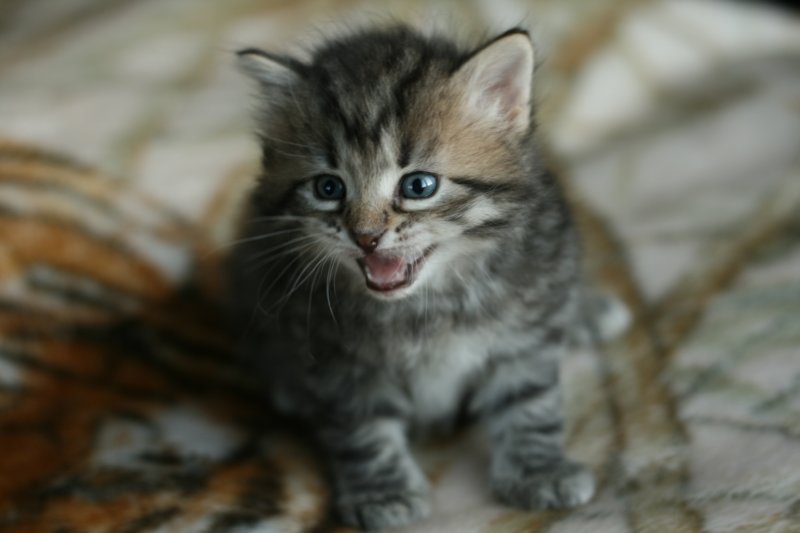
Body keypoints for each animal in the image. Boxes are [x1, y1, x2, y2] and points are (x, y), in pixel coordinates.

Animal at [228, 25, 627, 531]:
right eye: (328, 187)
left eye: (418, 186)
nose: (366, 237)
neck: (428, 304)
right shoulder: (335, 359)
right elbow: (364, 432)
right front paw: (383, 492)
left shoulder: (525, 331)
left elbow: (530, 402)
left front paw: (539, 470)